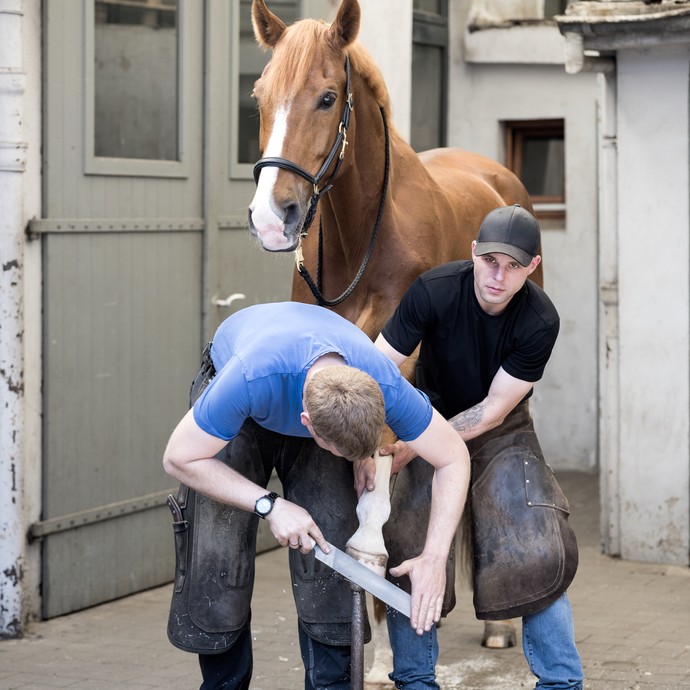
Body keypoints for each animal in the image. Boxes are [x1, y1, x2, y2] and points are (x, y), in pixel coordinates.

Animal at [247, 0, 536, 680]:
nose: (272, 218)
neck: (362, 240)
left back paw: (500, 624)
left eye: (328, 97)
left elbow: (374, 523)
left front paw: (378, 653)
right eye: (260, 96)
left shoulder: (393, 372)